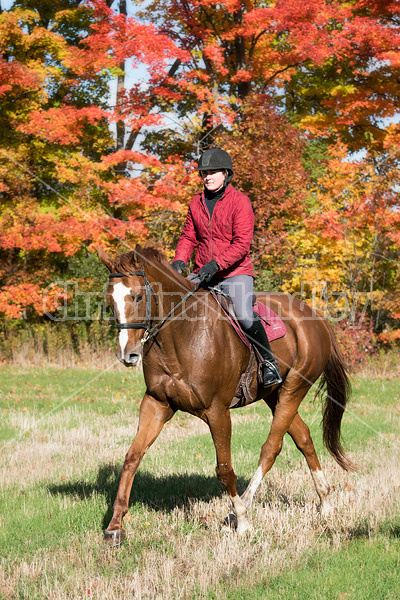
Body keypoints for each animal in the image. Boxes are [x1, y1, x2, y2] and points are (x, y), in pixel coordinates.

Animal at [97, 244, 354, 544]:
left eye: (137, 296)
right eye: (110, 300)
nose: (128, 355)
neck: (181, 334)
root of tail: (316, 317)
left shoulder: (217, 411)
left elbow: (224, 469)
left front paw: (242, 521)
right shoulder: (156, 404)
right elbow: (132, 457)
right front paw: (115, 525)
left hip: (293, 390)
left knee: (271, 448)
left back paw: (241, 508)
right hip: (274, 395)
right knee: (303, 438)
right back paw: (325, 502)